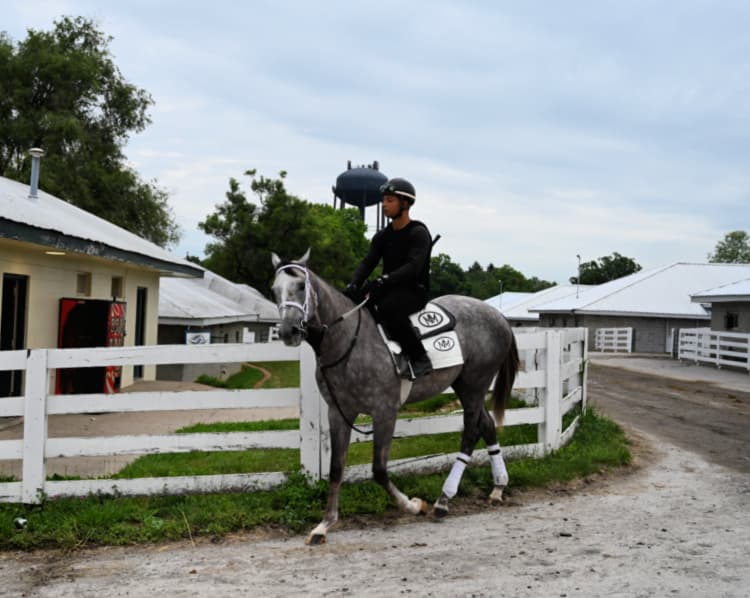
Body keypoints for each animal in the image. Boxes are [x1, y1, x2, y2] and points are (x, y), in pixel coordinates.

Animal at [272, 251, 524, 548]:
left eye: (301, 286)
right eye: (274, 290)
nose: (288, 331)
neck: (349, 340)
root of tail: (498, 316)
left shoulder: (384, 412)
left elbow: (379, 470)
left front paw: (413, 505)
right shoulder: (339, 412)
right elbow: (336, 468)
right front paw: (325, 525)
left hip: (475, 385)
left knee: (471, 432)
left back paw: (444, 499)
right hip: (464, 386)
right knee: (486, 425)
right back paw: (498, 486)